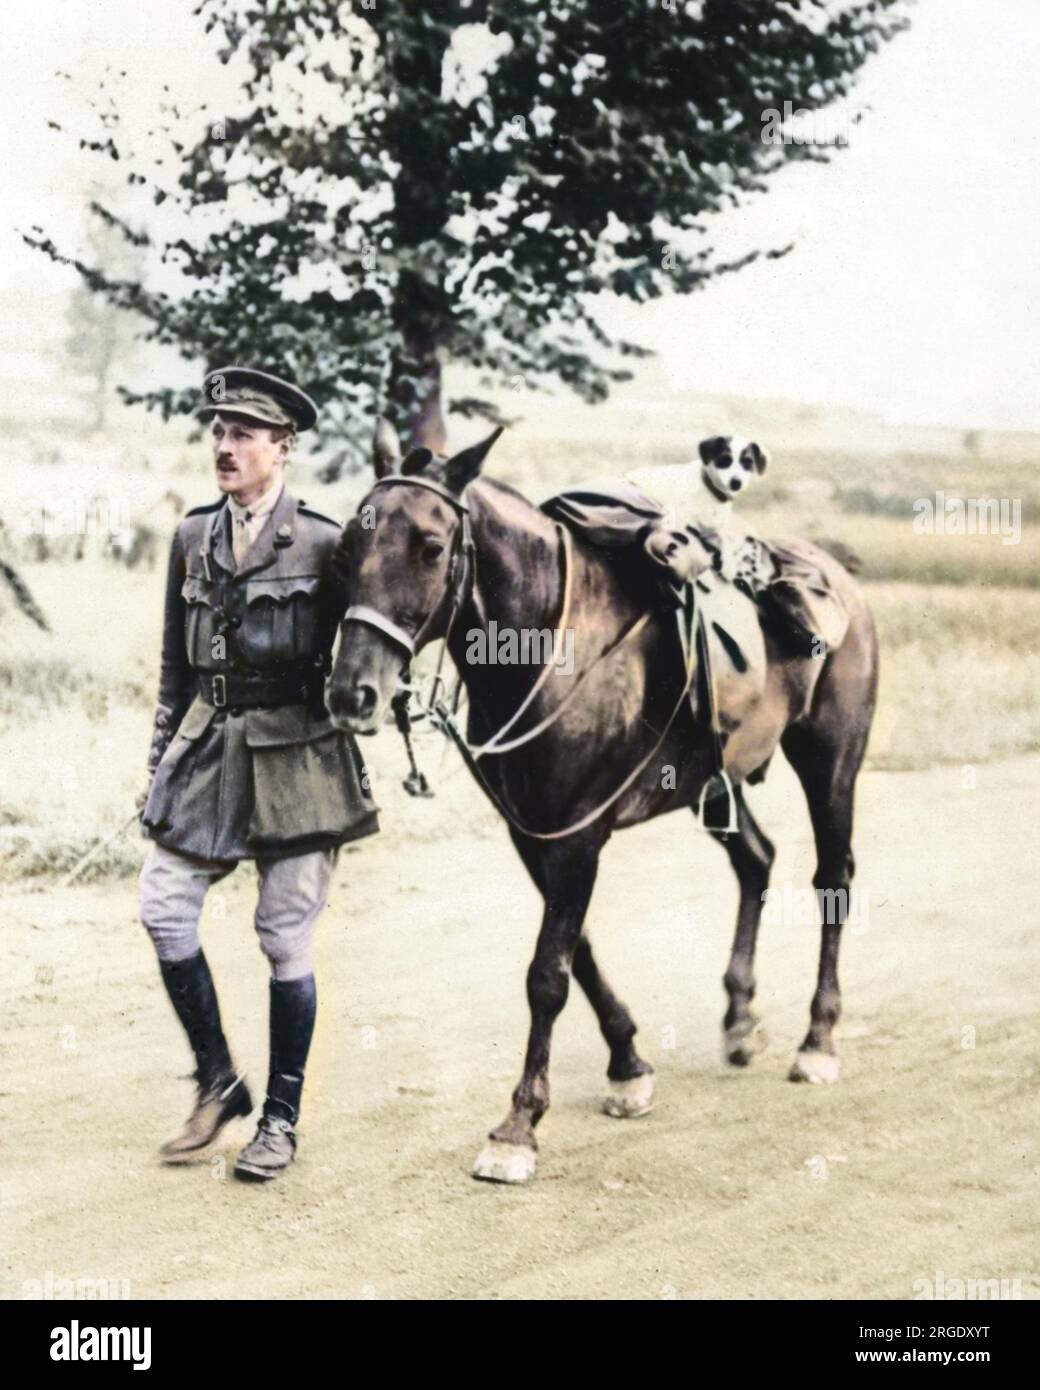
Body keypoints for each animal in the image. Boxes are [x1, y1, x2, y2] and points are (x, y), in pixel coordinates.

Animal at [326, 425, 878, 1184]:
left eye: (432, 547)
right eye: (347, 546)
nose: (352, 692)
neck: (553, 648)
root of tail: (839, 578)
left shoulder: (577, 838)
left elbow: (547, 975)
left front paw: (518, 1127)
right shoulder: (535, 834)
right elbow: (578, 952)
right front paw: (629, 1065)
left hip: (831, 761)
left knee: (832, 879)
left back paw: (819, 1039)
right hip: (716, 784)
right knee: (757, 861)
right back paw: (740, 1018)